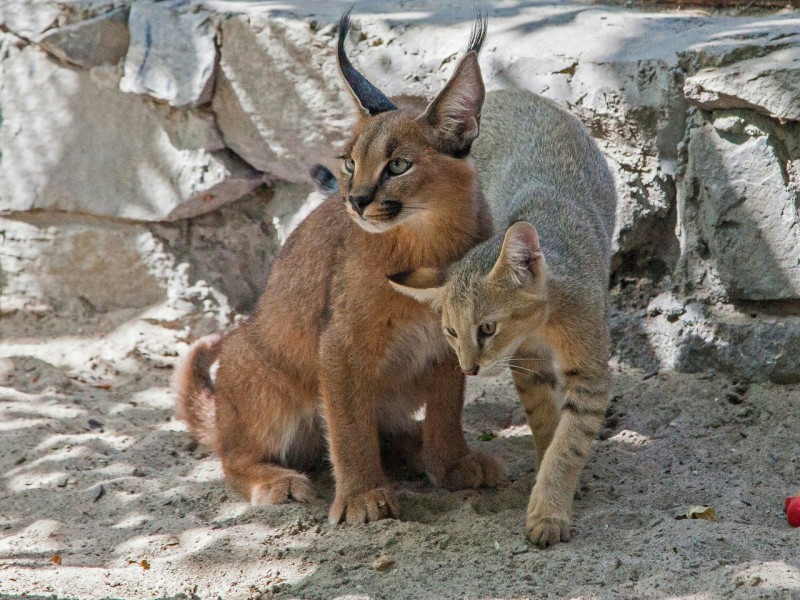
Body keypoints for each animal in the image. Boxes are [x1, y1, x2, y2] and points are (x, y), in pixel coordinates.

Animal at [173, 11, 500, 524]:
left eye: (398, 165)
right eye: (349, 163)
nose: (356, 200)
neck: (429, 236)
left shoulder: (453, 335)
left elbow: (448, 407)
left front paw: (450, 463)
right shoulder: (341, 344)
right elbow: (348, 424)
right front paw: (363, 495)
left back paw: (415, 450)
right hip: (257, 363)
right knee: (231, 454)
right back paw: (274, 479)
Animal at [392, 90, 620, 548]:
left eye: (487, 328)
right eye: (451, 332)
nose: (468, 368)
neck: (544, 325)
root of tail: (508, 92)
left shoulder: (589, 371)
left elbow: (569, 443)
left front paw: (549, 510)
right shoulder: (527, 364)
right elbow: (547, 423)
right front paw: (551, 485)